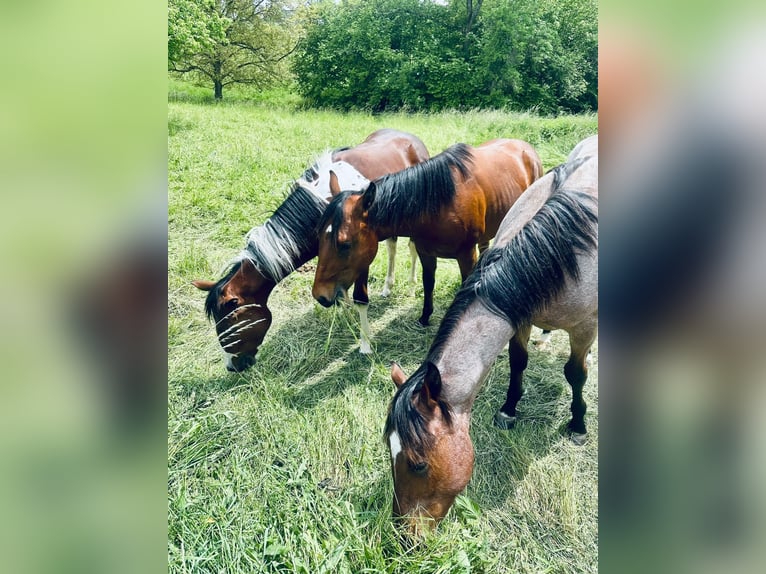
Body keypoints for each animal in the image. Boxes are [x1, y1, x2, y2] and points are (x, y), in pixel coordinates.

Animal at [192, 129, 430, 371]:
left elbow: (360, 298)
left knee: (411, 248)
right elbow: (341, 293)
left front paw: (365, 343)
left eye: (230, 320)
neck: (323, 202)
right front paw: (347, 317)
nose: (232, 366)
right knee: (392, 246)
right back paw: (387, 287)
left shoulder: (358, 255)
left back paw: (412, 286)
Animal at [312, 139, 543, 338]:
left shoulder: (466, 254)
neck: (440, 204)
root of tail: (526, 148)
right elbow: (428, 282)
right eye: (318, 236)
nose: (320, 295)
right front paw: (425, 317)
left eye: (344, 244)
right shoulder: (426, 252)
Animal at [384, 135, 598, 534]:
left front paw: (577, 424)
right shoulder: (519, 318)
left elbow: (575, 374)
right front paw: (510, 409)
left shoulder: (584, 328)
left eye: (418, 464)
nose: (405, 535)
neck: (559, 252)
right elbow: (518, 362)